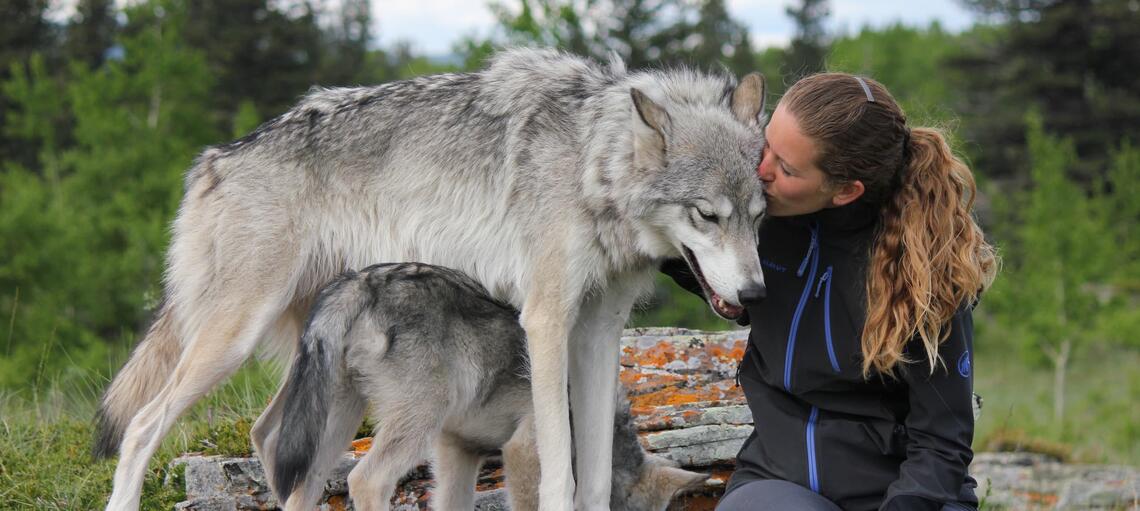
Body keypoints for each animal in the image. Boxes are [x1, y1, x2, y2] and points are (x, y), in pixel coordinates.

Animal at [257, 263, 702, 511]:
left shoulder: (457, 449)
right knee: (365, 481)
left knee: (300, 491)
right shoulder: (522, 448)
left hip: (337, 427)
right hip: (415, 422)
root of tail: (358, 282)